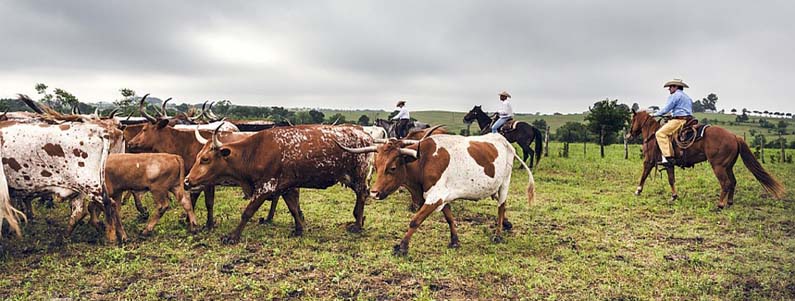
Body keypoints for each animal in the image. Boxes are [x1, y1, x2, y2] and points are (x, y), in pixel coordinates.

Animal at [186, 124, 374, 244]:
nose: (187, 181)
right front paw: (299, 229)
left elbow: (247, 212)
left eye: (205, 159)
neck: (254, 152)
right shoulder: (286, 187)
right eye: (198, 157)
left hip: (359, 175)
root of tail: (365, 135)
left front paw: (232, 237)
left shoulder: (265, 187)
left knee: (362, 195)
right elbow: (293, 208)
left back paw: (358, 225)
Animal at [338, 130, 536, 254]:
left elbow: (415, 221)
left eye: (392, 168)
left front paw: (402, 247)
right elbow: (449, 218)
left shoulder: (435, 196)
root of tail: (505, 142)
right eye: (376, 166)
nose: (374, 192)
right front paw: (455, 241)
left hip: (504, 184)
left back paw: (498, 234)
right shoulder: (443, 197)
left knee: (501, 207)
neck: (423, 161)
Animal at [632, 109, 788, 207]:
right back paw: (729, 202)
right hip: (728, 166)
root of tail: (734, 136)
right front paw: (674, 196)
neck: (653, 134)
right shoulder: (669, 164)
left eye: (632, 119)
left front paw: (638, 191)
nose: (630, 133)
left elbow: (644, 175)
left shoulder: (649, 161)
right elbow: (671, 180)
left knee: (725, 183)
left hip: (718, 166)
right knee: (733, 182)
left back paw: (720, 205)